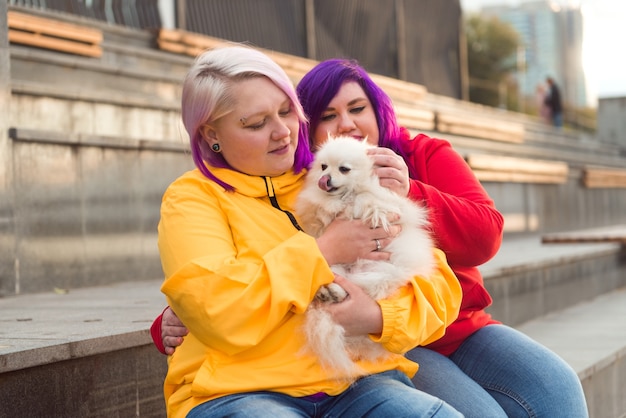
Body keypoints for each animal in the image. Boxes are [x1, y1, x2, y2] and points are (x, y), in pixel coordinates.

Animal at [294, 136, 432, 376]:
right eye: (323, 167)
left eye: (344, 169)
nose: (324, 179)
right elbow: (321, 212)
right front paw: (331, 209)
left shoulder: (387, 203)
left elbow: (367, 201)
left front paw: (351, 205)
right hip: (338, 267)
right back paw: (328, 292)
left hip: (383, 273)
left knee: (364, 288)